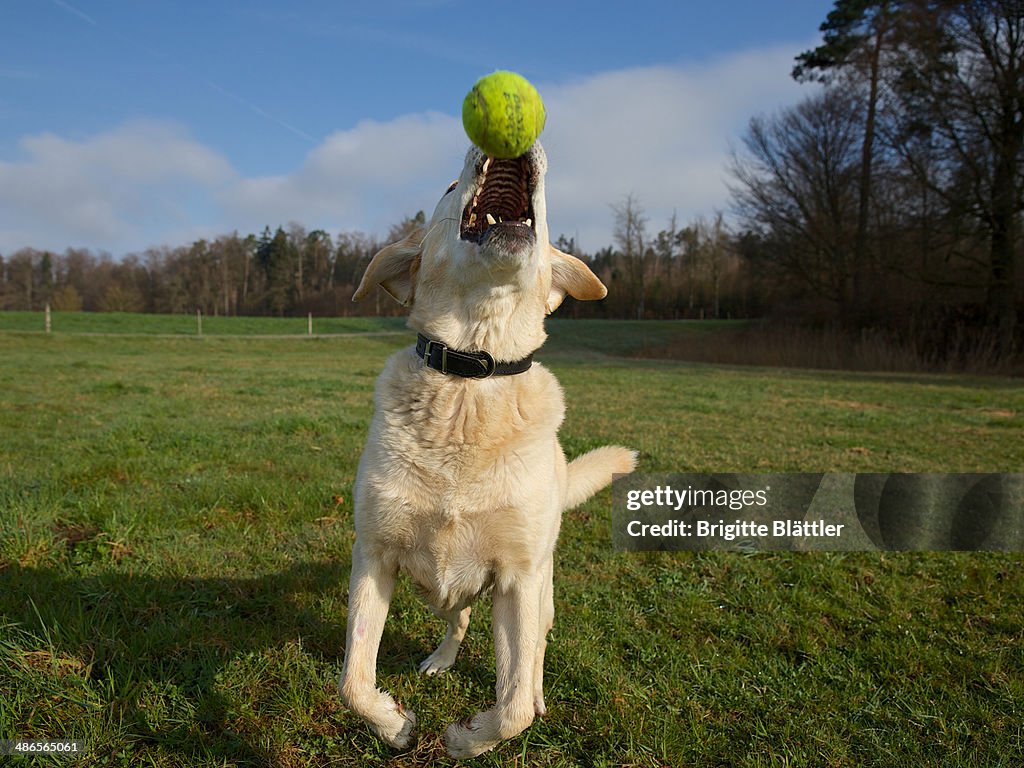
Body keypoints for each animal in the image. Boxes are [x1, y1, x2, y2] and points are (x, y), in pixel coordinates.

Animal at [339, 143, 634, 757]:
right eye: (451, 186)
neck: (471, 378)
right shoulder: (373, 556)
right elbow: (353, 680)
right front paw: (395, 725)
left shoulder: (518, 578)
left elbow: (513, 705)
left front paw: (466, 739)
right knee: (458, 618)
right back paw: (440, 659)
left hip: (541, 588)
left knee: (534, 655)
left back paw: (534, 692)